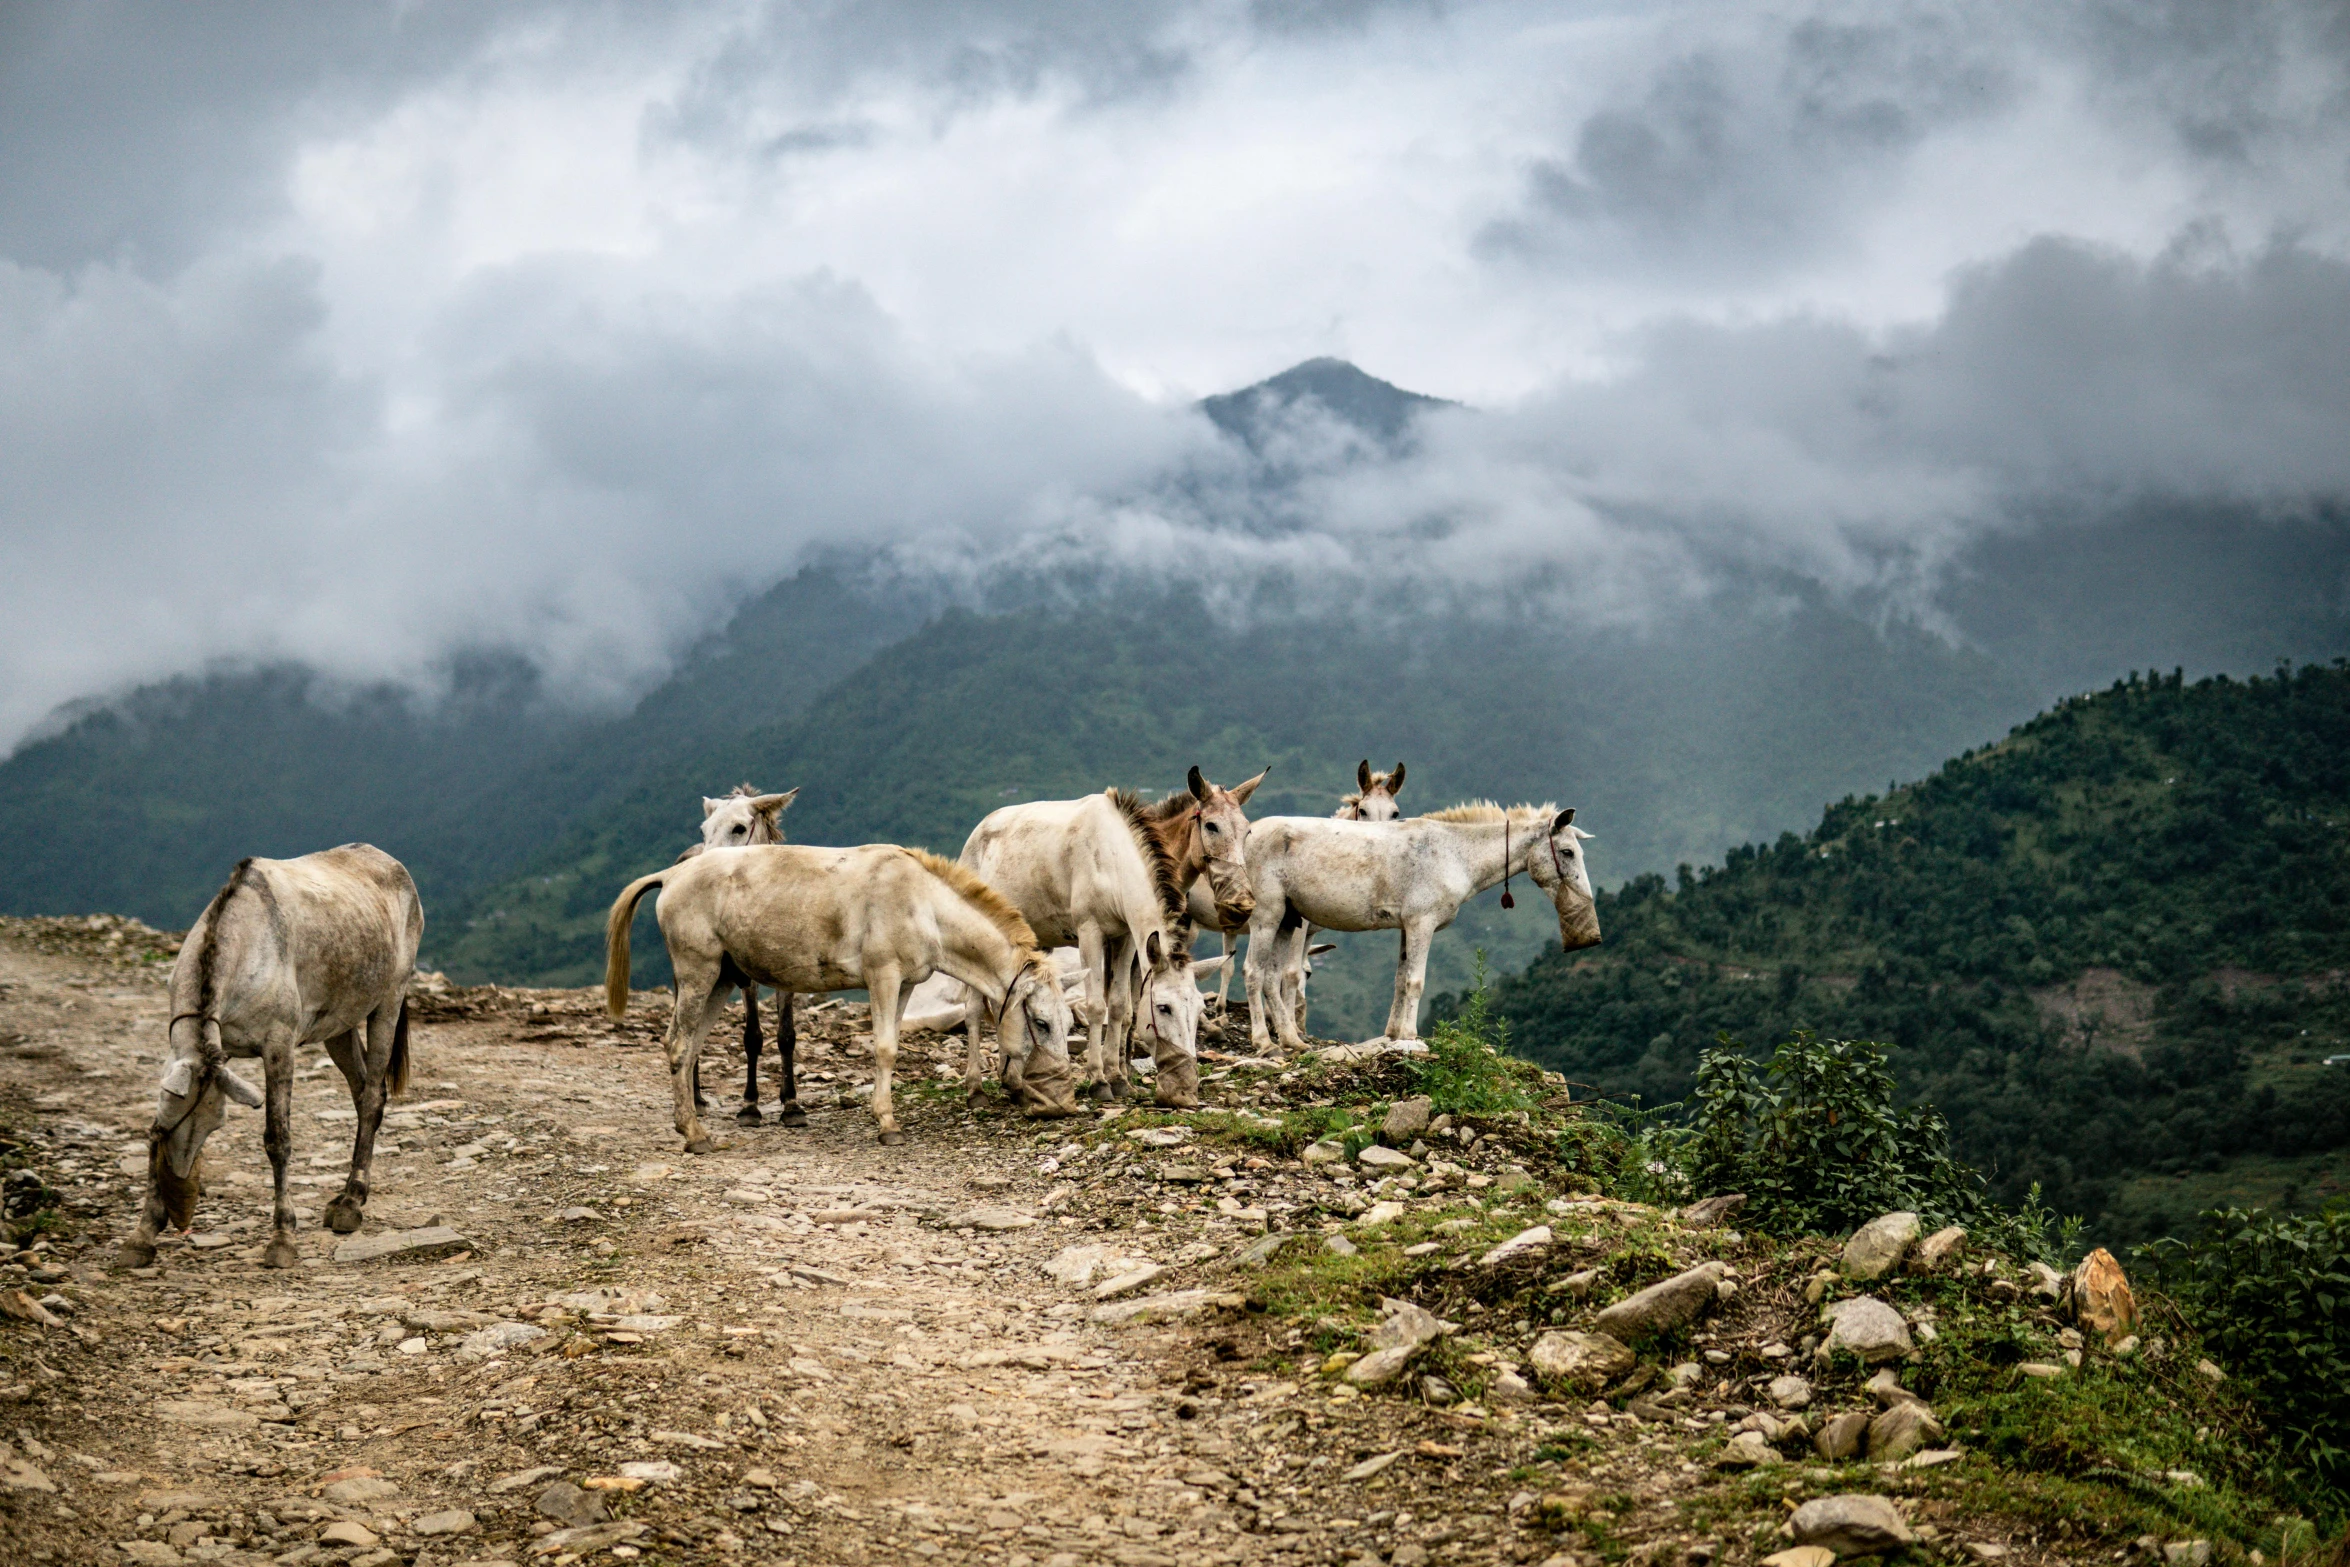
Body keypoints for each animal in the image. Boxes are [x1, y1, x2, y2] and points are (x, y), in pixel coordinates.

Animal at [119, 845, 425, 1278]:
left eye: (217, 1122)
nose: (179, 1181)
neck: (242, 944)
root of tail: (391, 864)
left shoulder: (279, 1044)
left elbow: (277, 1139)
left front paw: (282, 1239)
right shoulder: (195, 1050)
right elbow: (152, 1128)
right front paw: (142, 1236)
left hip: (390, 999)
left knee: (371, 1098)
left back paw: (351, 1205)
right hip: (340, 1024)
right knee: (363, 1088)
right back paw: (343, 1197)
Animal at [606, 845, 1081, 1151]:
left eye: (1069, 1025)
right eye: (1041, 1023)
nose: (1064, 1105)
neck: (924, 906)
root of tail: (672, 875)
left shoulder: (904, 984)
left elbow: (892, 1045)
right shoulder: (883, 977)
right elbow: (885, 1049)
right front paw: (887, 1124)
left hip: (721, 979)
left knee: (688, 1049)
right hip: (697, 973)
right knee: (678, 1045)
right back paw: (694, 1135)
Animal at [681, 789, 808, 1122]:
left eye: (739, 828)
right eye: (704, 830)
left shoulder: (790, 973)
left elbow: (786, 1035)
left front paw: (791, 1104)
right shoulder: (746, 977)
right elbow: (752, 1036)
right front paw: (750, 1106)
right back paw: (695, 1098)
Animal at [958, 784, 1212, 1104]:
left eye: (1199, 1009)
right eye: (1164, 1007)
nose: (1186, 1086)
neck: (1111, 859)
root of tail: (977, 833)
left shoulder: (1125, 937)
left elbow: (1118, 1006)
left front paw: (1118, 1079)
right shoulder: (1090, 932)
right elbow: (1095, 1007)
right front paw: (1098, 1081)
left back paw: (1013, 1083)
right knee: (973, 1011)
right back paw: (975, 1089)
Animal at [1231, 808, 1597, 1052]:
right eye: (1567, 852)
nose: (1585, 899)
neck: (1454, 853)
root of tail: (1247, 834)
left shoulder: (1407, 927)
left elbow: (1400, 979)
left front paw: (1393, 1033)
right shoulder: (1422, 923)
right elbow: (1416, 981)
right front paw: (1409, 1035)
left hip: (1287, 919)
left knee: (1271, 976)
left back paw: (1292, 1040)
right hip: (1267, 914)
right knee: (1253, 971)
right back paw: (1264, 1042)